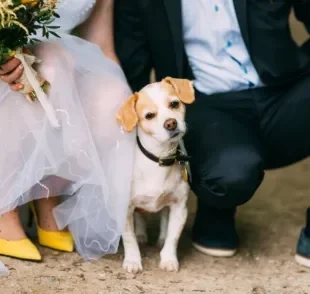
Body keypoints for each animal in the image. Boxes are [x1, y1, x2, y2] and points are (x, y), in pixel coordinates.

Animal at [116, 76, 194, 274]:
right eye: (149, 115)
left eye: (174, 104)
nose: (171, 123)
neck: (159, 158)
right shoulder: (125, 209)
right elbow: (129, 238)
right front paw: (133, 261)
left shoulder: (179, 207)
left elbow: (173, 238)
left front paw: (168, 259)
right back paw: (141, 234)